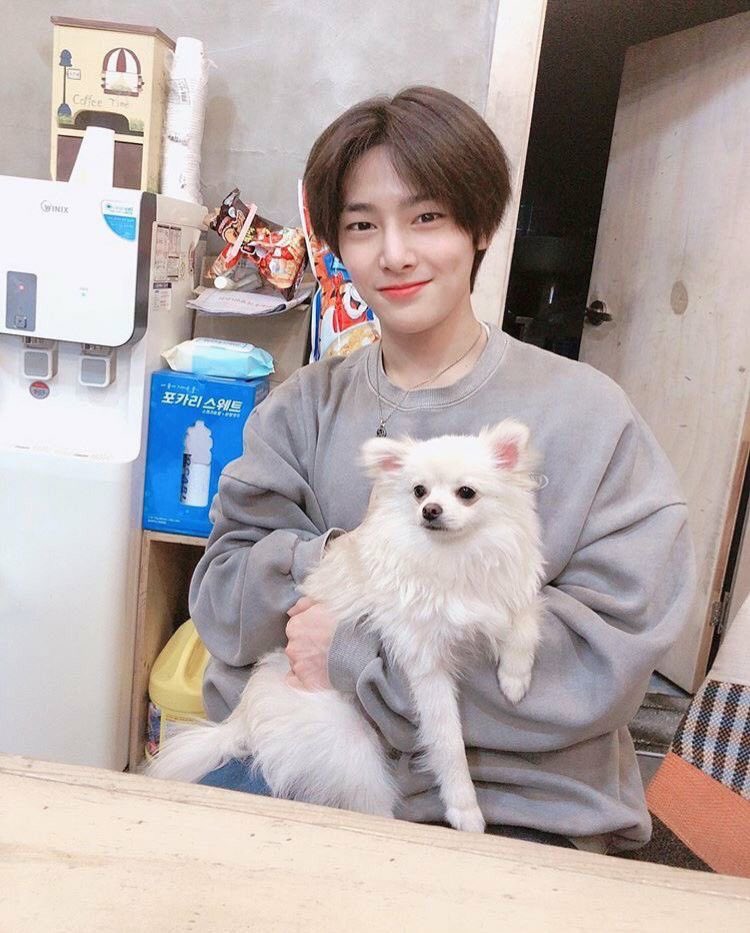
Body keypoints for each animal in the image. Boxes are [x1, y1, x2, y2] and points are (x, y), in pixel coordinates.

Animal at [145, 420, 544, 833]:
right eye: (418, 491)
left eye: (467, 493)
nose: (430, 510)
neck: (453, 556)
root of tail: (243, 718)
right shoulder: (426, 663)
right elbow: (448, 741)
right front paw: (464, 808)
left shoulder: (507, 596)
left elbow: (525, 624)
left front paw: (515, 679)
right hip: (351, 747)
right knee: (369, 800)